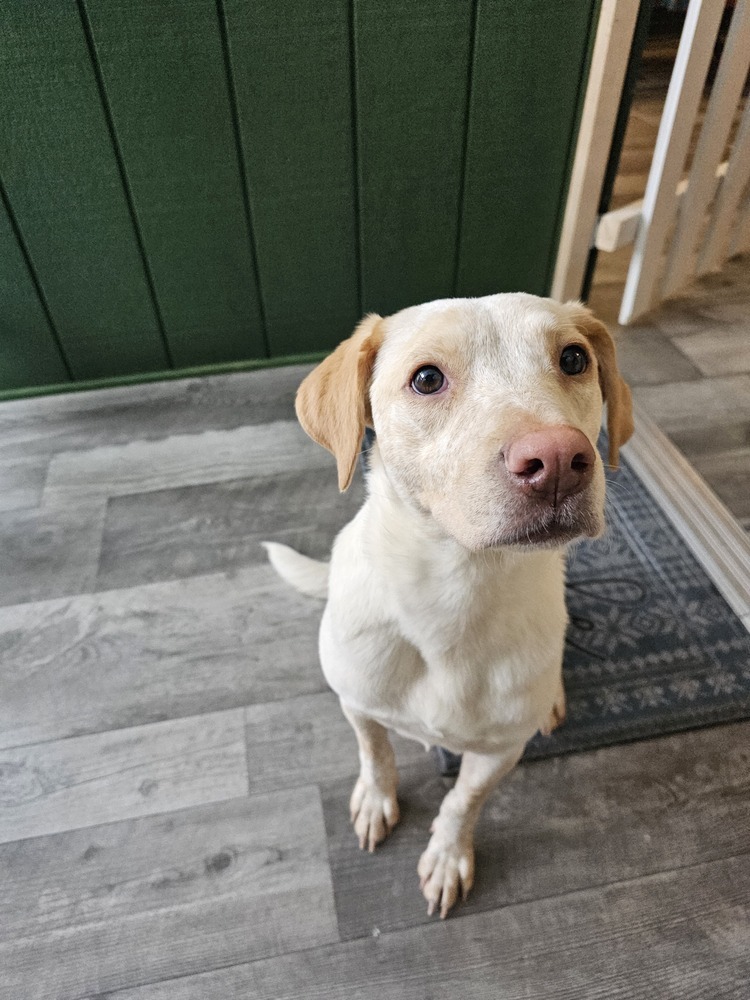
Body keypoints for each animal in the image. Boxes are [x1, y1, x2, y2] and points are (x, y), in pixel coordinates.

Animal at [264, 292, 636, 916]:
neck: (454, 595)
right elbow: (375, 754)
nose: (559, 458)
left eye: (574, 359)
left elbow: (463, 801)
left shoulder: (499, 751)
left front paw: (446, 855)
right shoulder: (357, 702)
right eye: (427, 379)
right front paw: (376, 799)